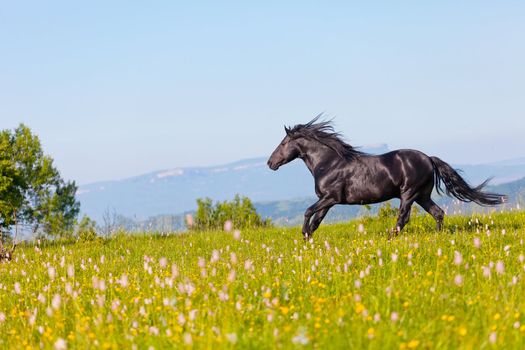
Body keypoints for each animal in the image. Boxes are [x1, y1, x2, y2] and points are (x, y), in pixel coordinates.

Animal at [268, 116, 506, 239]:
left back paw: (390, 236)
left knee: (403, 217)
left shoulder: (331, 198)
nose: (270, 163)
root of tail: (428, 158)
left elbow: (308, 211)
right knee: (438, 213)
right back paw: (438, 236)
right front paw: (308, 238)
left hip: (409, 193)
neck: (329, 163)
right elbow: (317, 220)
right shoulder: (328, 201)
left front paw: (304, 234)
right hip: (422, 195)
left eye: (283, 143)